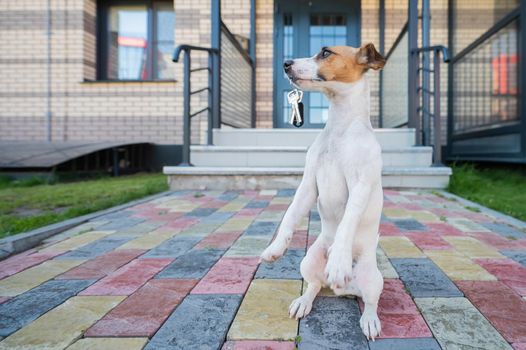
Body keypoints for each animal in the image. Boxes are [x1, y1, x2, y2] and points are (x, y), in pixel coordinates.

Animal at [262, 43, 386, 340]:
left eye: (326, 52)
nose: (285, 63)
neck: (340, 131)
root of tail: (346, 289)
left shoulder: (360, 186)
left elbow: (348, 221)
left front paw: (339, 259)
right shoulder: (309, 184)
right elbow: (290, 216)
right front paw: (275, 247)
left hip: (374, 278)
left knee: (371, 301)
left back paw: (369, 319)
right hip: (308, 261)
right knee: (315, 285)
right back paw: (303, 302)